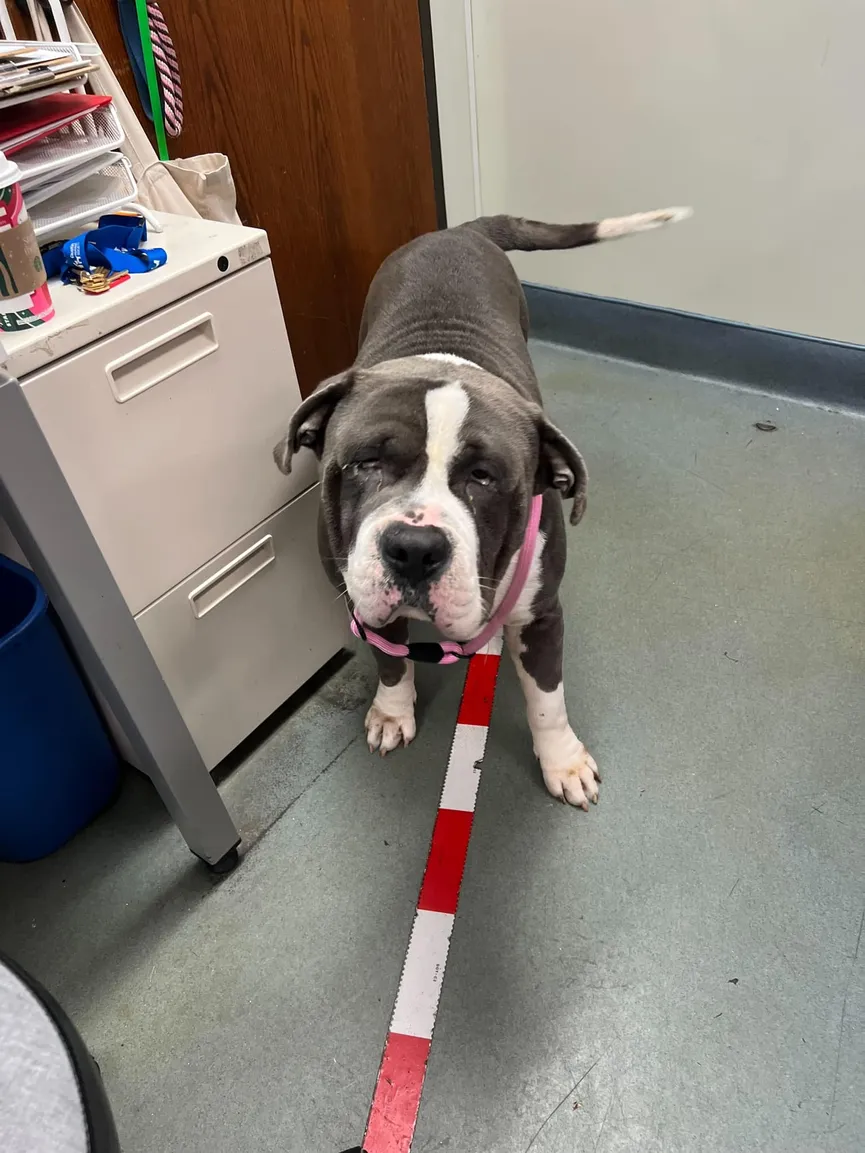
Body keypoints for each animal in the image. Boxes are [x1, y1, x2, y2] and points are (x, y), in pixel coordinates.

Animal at [274, 209, 696, 811]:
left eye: (484, 478)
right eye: (365, 462)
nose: (414, 548)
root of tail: (460, 230)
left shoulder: (542, 615)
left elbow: (547, 698)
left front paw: (563, 761)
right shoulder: (364, 604)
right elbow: (390, 660)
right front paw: (392, 712)